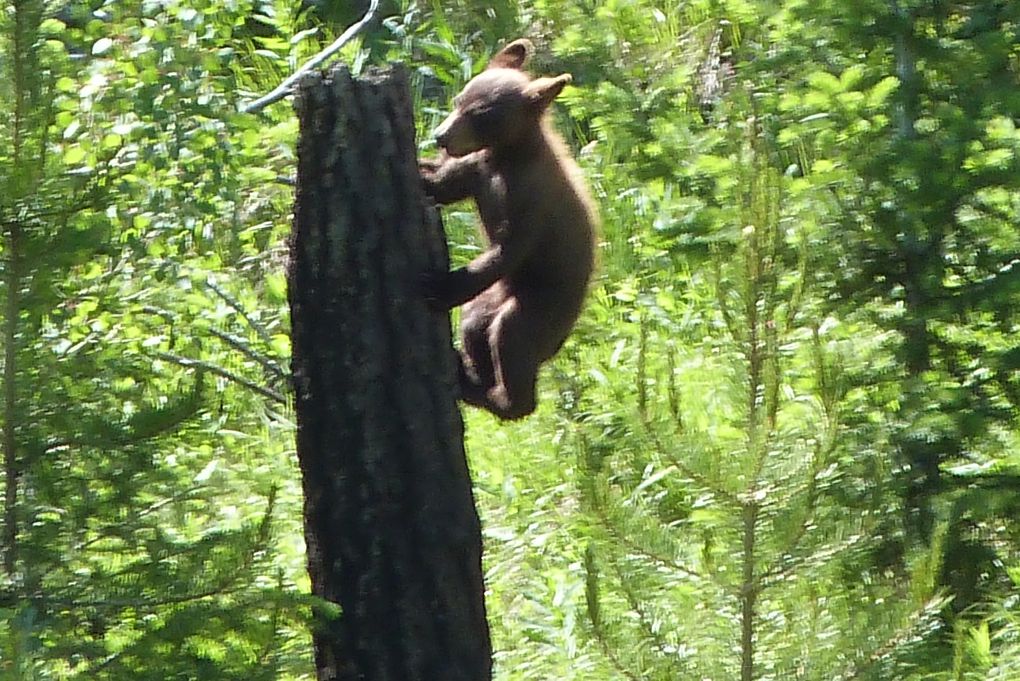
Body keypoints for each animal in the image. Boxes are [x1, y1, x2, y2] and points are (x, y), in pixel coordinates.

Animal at [420, 40, 595, 420]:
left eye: (480, 113)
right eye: (458, 100)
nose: (441, 137)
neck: (509, 157)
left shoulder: (530, 199)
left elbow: (507, 249)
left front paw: (440, 287)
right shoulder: (479, 168)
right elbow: (442, 186)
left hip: (543, 307)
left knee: (511, 335)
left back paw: (501, 397)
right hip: (494, 298)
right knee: (474, 323)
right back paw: (470, 375)